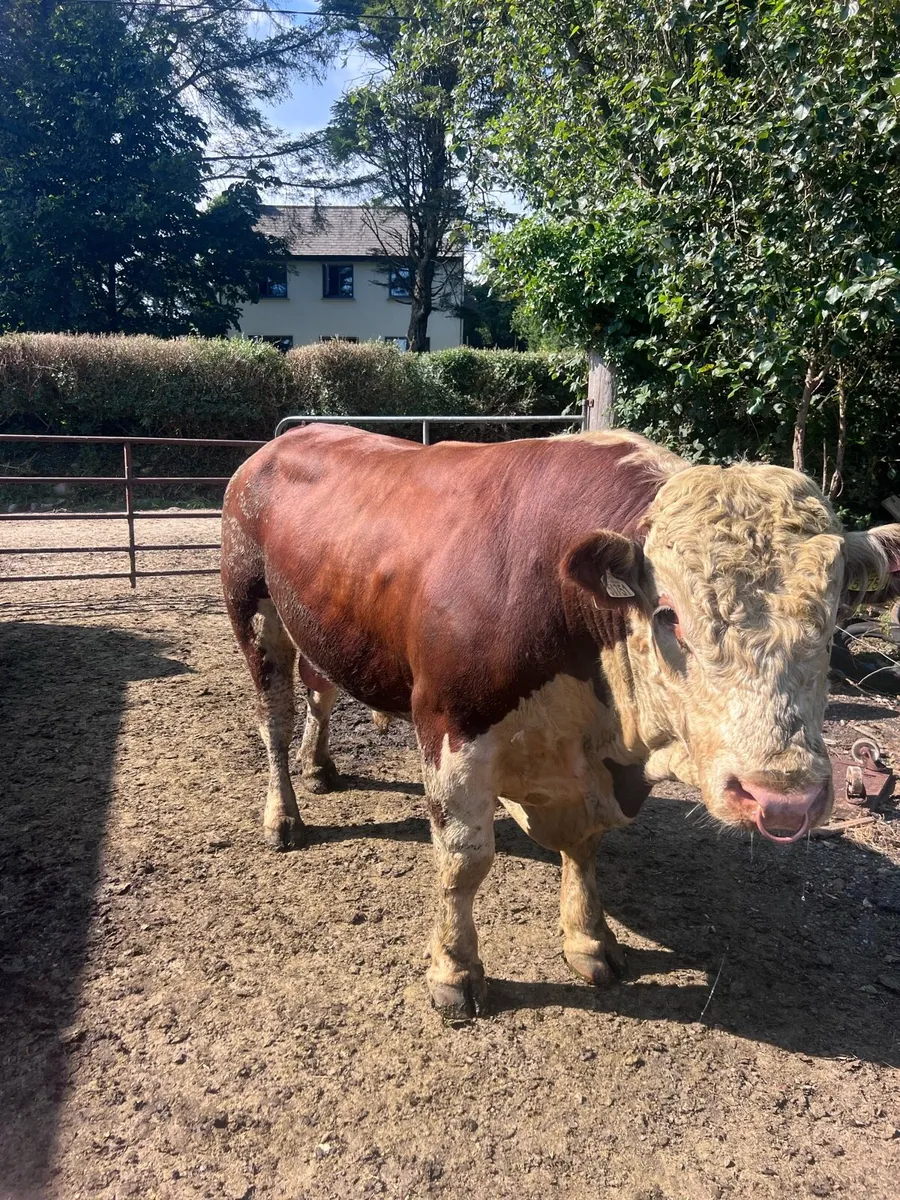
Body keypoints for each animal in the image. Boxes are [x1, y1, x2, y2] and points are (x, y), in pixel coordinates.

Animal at [221, 425, 900, 1019]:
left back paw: (320, 764)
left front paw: (588, 939)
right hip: (254, 611)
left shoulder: (593, 768)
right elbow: (464, 860)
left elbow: (585, 845)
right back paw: (283, 814)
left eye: (834, 619)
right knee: (275, 717)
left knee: (320, 693)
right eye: (669, 616)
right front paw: (455, 972)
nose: (783, 797)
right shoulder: (450, 727)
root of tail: (288, 438)